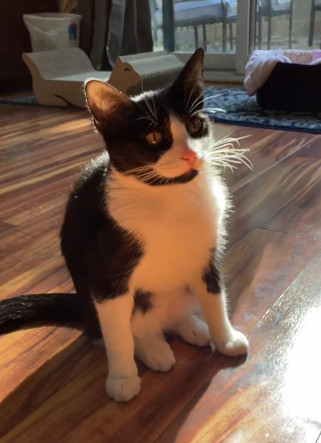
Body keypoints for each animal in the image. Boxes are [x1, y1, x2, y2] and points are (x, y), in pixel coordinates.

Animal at [0, 48, 249, 402]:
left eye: (195, 124)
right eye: (154, 136)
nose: (190, 155)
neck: (171, 197)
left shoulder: (207, 254)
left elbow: (215, 298)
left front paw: (225, 338)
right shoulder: (107, 274)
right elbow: (118, 335)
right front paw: (122, 378)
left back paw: (191, 326)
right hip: (94, 301)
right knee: (121, 330)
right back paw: (153, 349)